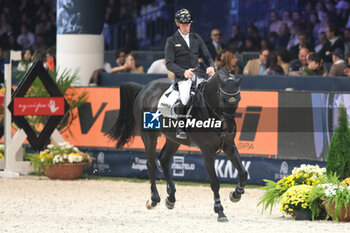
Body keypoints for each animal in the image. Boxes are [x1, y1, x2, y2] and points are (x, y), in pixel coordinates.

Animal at [108, 69, 247, 222]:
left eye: (239, 98)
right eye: (222, 98)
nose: (230, 128)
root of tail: (144, 88)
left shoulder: (229, 147)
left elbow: (243, 173)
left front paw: (236, 194)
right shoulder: (207, 151)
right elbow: (215, 182)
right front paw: (220, 211)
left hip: (173, 140)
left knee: (163, 159)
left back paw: (171, 198)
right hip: (149, 136)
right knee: (151, 164)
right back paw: (154, 199)